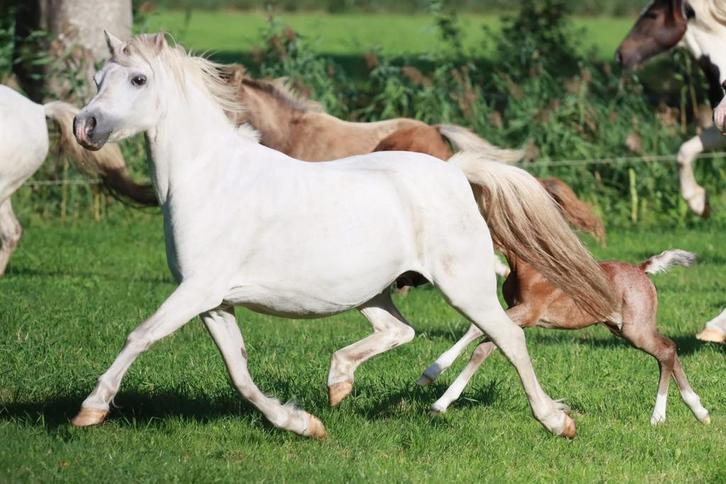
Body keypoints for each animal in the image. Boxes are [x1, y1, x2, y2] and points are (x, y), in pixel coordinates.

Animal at [69, 32, 618, 439]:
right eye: (98, 78)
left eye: (138, 78)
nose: (84, 126)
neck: (210, 177)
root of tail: (455, 171)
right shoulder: (214, 302)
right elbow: (239, 374)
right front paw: (301, 424)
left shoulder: (196, 292)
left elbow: (140, 335)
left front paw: (90, 410)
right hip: (375, 291)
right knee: (400, 330)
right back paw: (339, 382)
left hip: (463, 286)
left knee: (506, 336)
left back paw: (555, 421)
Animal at [418, 249, 711, 426]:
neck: (527, 267)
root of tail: (642, 268)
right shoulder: (518, 314)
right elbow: (480, 343)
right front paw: (435, 386)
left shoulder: (527, 312)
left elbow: (477, 334)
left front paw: (435, 386)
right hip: (623, 329)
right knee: (669, 349)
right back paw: (699, 411)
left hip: (635, 330)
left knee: (666, 351)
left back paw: (658, 416)